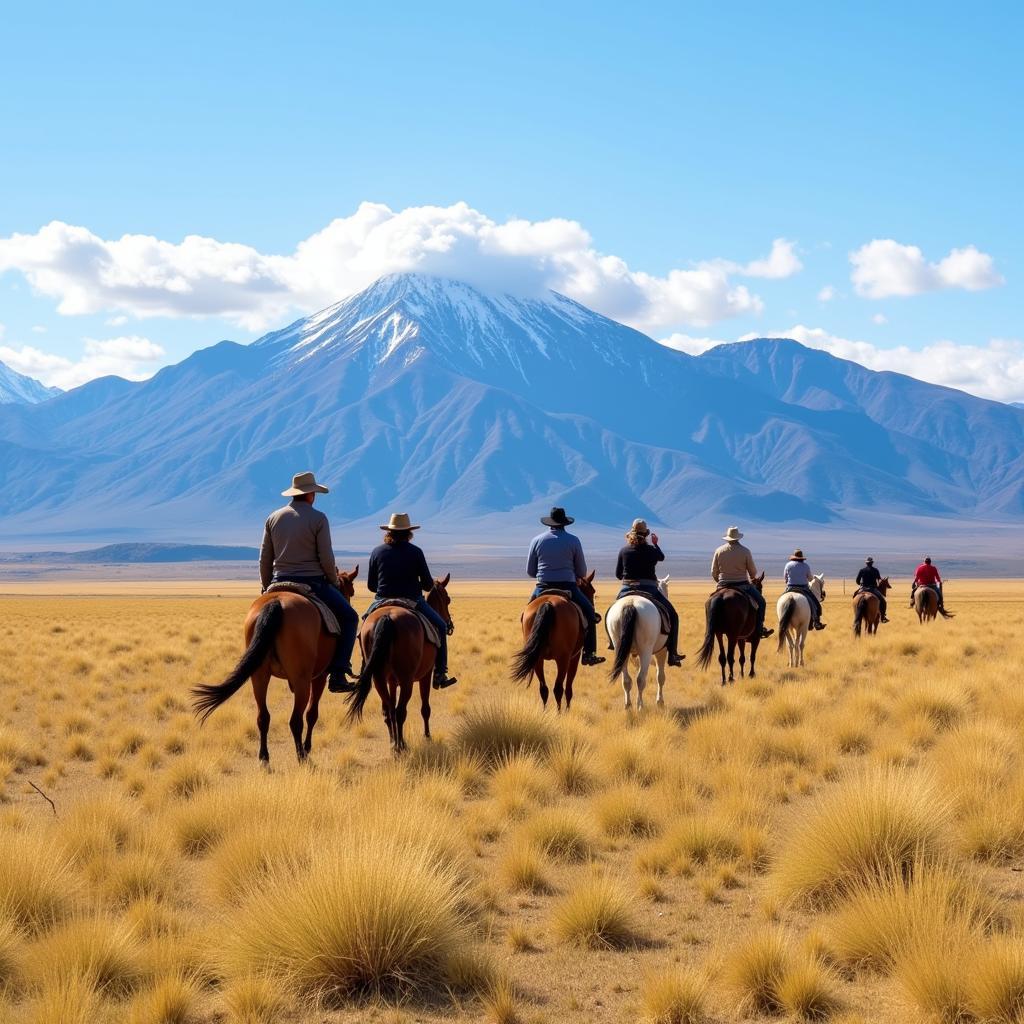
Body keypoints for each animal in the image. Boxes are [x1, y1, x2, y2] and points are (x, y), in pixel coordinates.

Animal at [190, 565, 362, 765]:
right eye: (351, 591)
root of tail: (276, 602)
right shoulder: (319, 676)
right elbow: (312, 714)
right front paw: (308, 747)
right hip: (301, 679)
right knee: (296, 720)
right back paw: (302, 756)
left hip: (259, 676)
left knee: (263, 717)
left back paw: (264, 757)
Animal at [344, 577, 452, 753]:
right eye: (448, 599)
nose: (449, 625)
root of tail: (387, 617)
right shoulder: (426, 675)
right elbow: (425, 708)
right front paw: (427, 737)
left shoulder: (392, 681)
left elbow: (392, 706)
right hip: (407, 680)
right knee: (401, 711)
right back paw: (401, 746)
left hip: (379, 678)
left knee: (388, 711)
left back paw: (393, 743)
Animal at [507, 569, 598, 712]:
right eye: (592, 591)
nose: (596, 615)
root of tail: (548, 603)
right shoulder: (575, 657)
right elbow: (569, 689)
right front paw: (567, 710)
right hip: (563, 658)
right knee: (558, 688)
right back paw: (559, 713)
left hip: (537, 658)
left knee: (544, 688)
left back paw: (544, 713)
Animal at [606, 577, 671, 712]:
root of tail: (630, 603)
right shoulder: (661, 651)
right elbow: (660, 676)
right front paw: (660, 701)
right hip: (645, 651)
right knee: (640, 679)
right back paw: (640, 706)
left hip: (620, 650)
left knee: (626, 680)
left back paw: (628, 705)